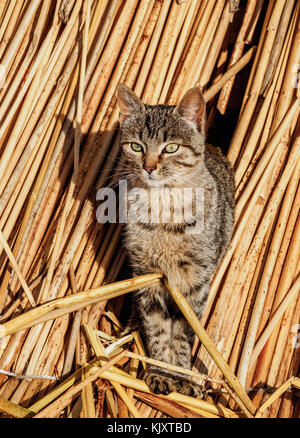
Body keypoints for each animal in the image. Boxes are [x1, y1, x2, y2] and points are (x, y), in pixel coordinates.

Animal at [116, 84, 236, 396]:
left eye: (170, 147)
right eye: (137, 146)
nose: (148, 167)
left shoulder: (196, 282)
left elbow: (184, 332)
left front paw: (181, 377)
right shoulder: (147, 276)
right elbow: (156, 328)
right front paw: (159, 371)